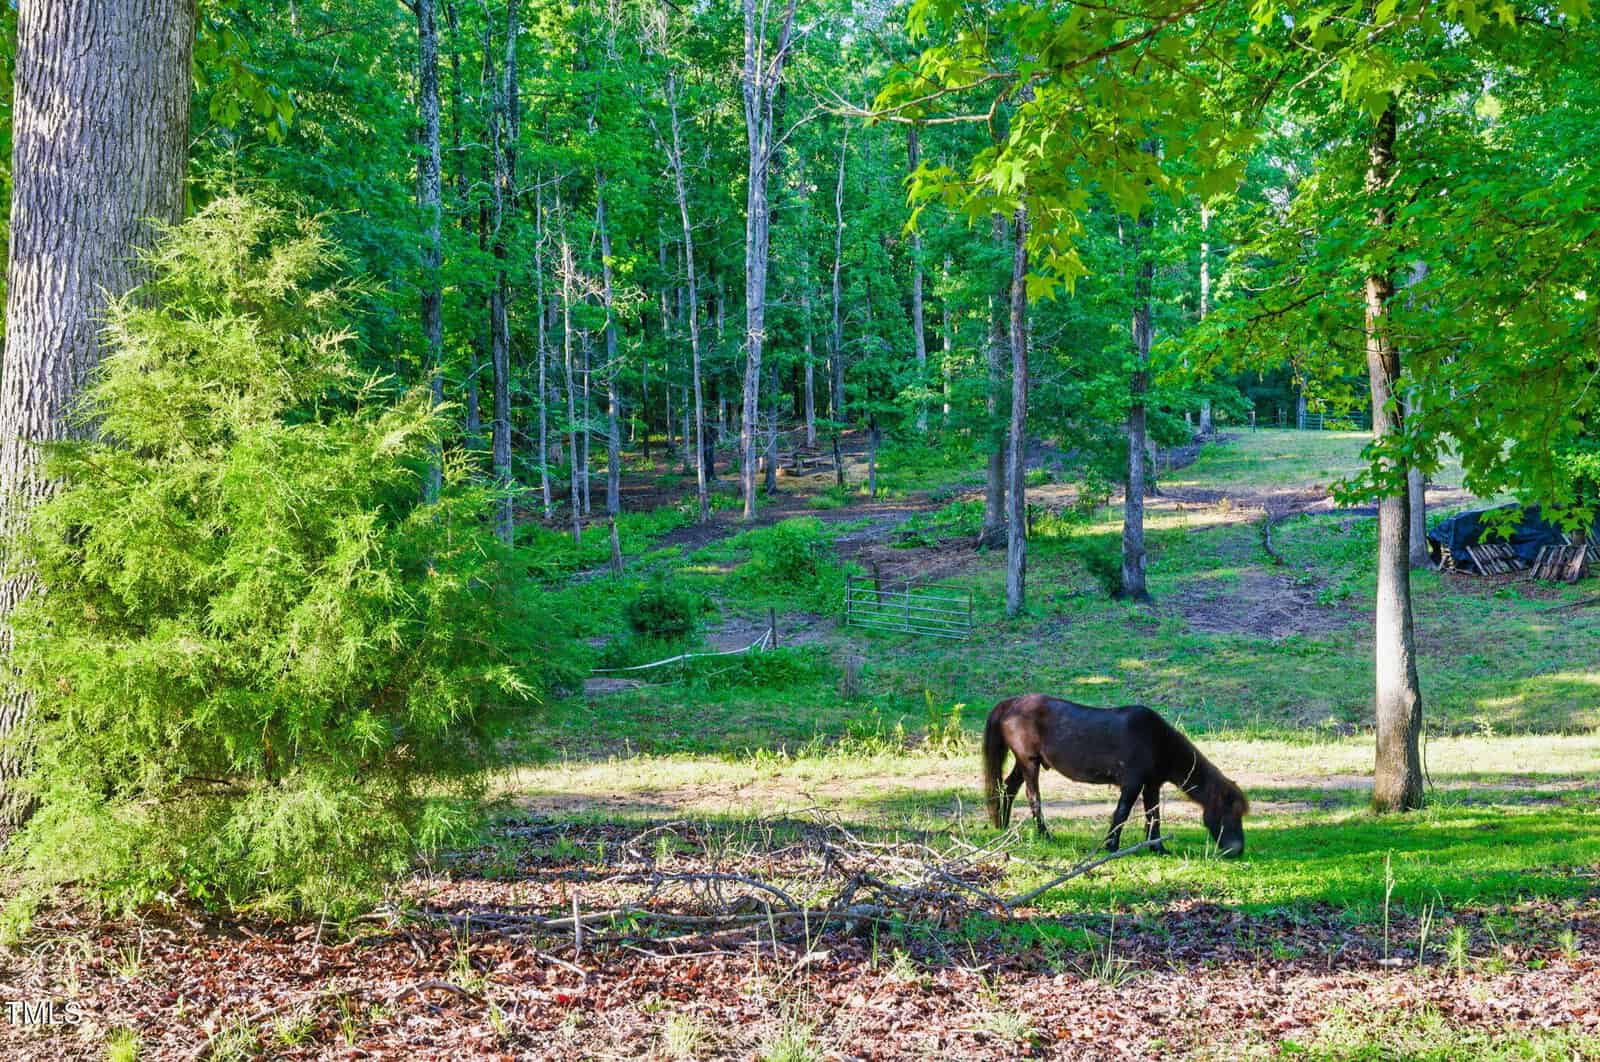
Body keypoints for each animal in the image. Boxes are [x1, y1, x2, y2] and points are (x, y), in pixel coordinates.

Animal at [982, 694, 1249, 858]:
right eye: (1229, 812)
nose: (1237, 850)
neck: (1157, 741)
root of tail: (1012, 703)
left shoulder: (1151, 786)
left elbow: (1154, 816)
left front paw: (1158, 847)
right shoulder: (1132, 784)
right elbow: (1122, 813)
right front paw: (1111, 845)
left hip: (1023, 763)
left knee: (1008, 789)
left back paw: (1003, 825)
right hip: (1029, 762)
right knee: (1032, 797)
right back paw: (1045, 835)